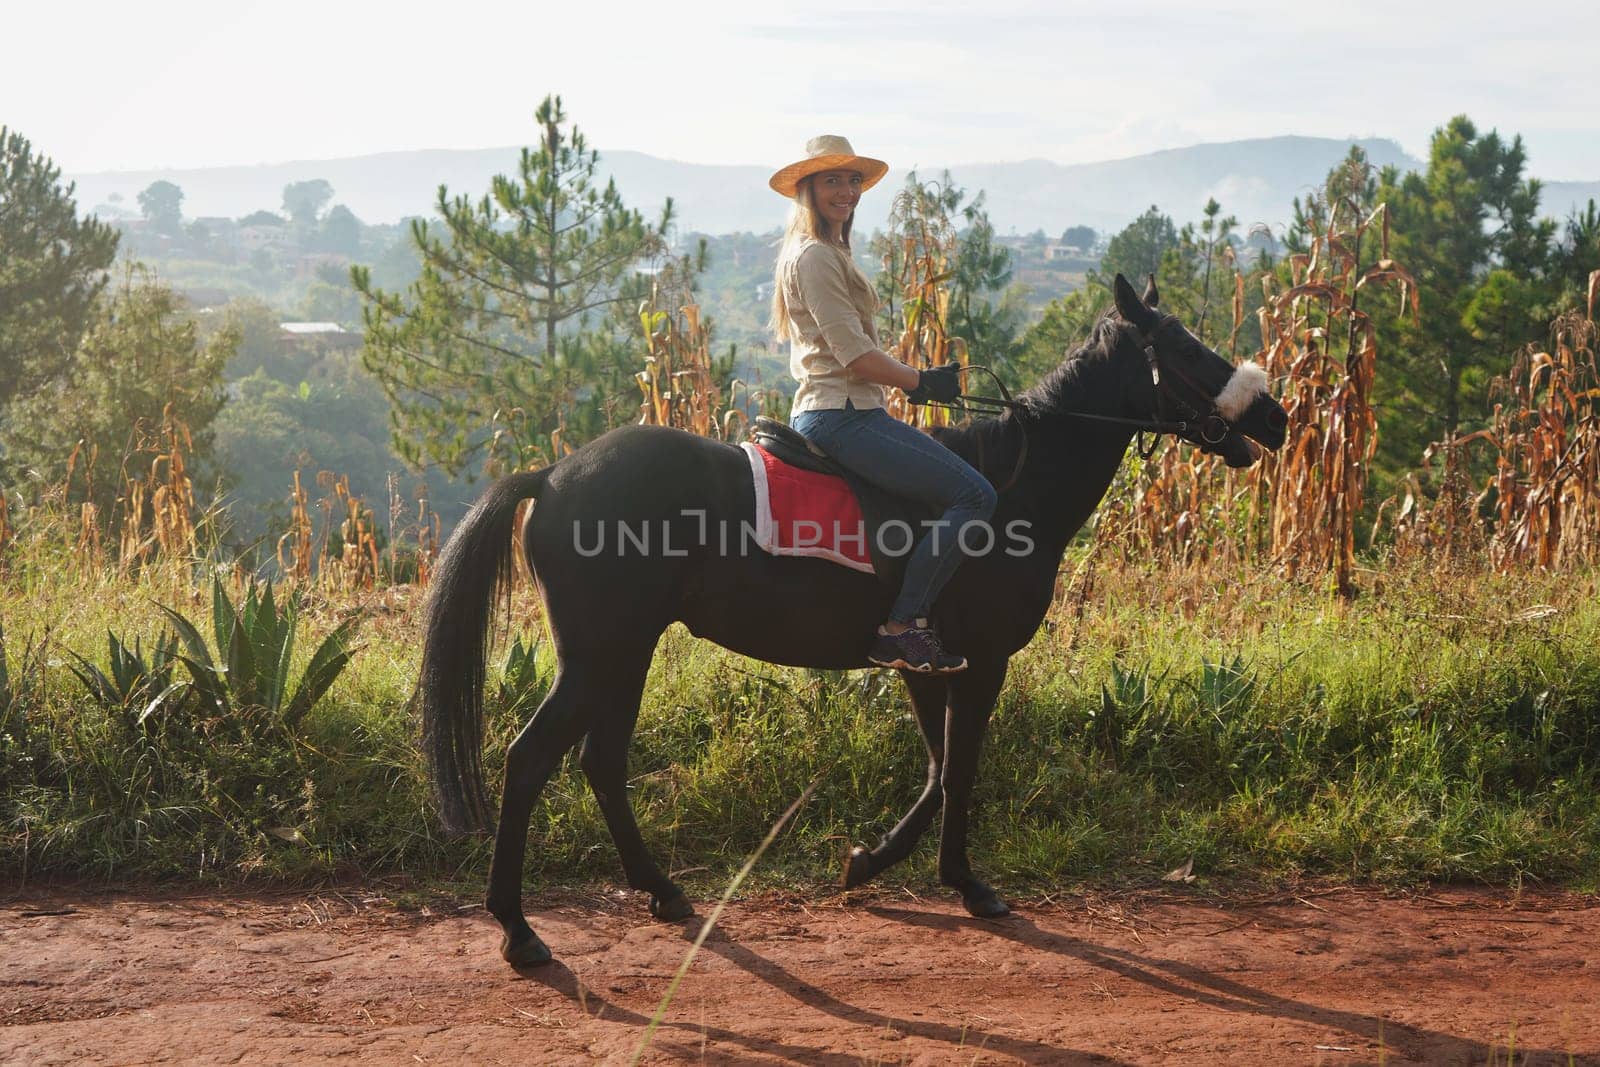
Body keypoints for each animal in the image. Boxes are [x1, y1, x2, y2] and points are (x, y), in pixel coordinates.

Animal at [416, 273, 1286, 966]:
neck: (1013, 491)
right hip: (601, 655)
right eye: (1183, 346)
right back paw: (518, 929)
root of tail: (553, 475)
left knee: (600, 762)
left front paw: (872, 862)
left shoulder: (925, 663)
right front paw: (963, 883)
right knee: (530, 760)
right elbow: (959, 770)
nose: (1276, 416)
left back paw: (661, 891)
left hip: (623, 655)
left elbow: (937, 771)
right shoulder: (981, 662)